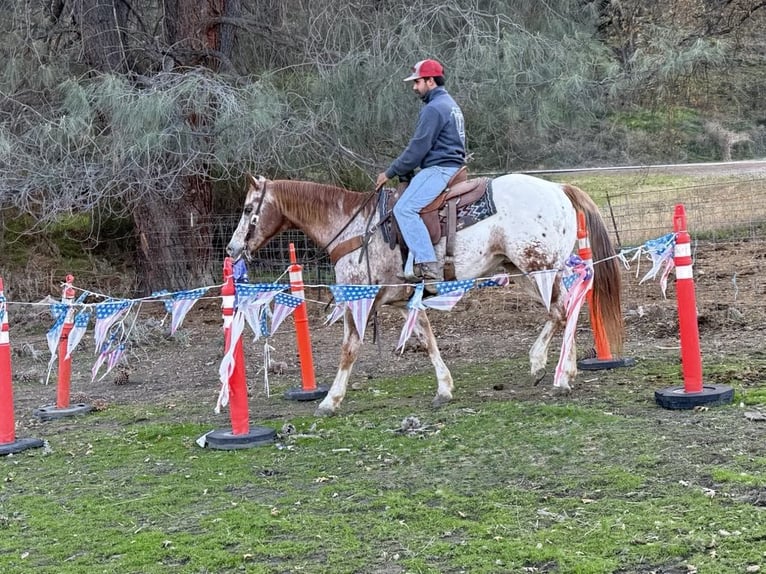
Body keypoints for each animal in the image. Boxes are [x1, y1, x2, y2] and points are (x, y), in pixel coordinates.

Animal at [226, 173, 624, 416]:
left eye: (247, 209)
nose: (232, 249)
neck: (355, 228)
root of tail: (559, 189)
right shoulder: (404, 302)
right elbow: (427, 338)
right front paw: (444, 388)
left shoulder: (360, 300)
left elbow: (349, 349)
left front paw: (330, 400)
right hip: (524, 271)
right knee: (567, 309)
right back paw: (560, 370)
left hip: (537, 268)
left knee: (561, 311)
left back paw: (549, 370)